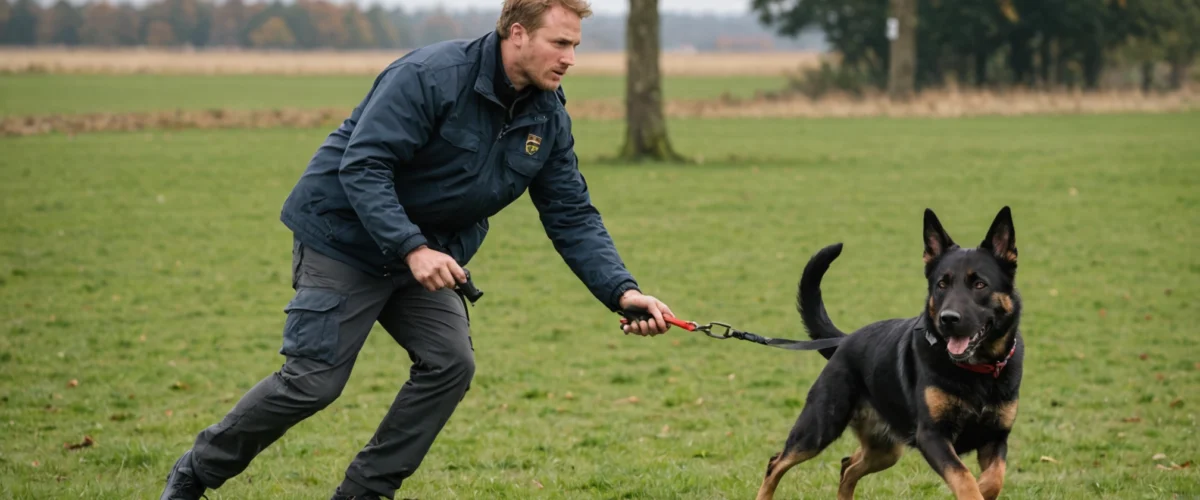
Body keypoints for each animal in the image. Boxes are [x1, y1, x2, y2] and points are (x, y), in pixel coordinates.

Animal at [758, 205, 1022, 498]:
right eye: (942, 284)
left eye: (980, 285)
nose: (948, 319)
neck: (976, 370)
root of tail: (846, 340)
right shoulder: (932, 436)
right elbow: (964, 477)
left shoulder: (995, 438)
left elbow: (994, 477)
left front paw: (983, 488)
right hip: (819, 428)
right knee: (776, 463)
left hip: (885, 449)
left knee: (848, 465)